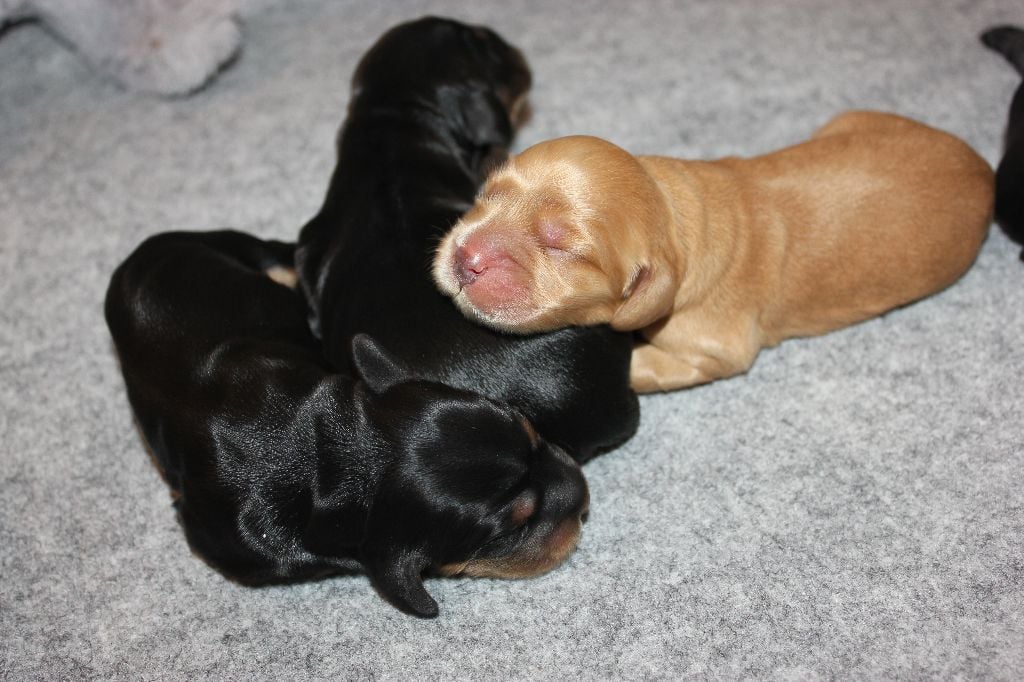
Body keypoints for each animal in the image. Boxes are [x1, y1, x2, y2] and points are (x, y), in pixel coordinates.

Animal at [432, 109, 991, 391]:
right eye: (487, 194)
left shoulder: (714, 350)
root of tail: (985, 170)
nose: (465, 258)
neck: (676, 214)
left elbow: (641, 368)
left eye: (560, 245)